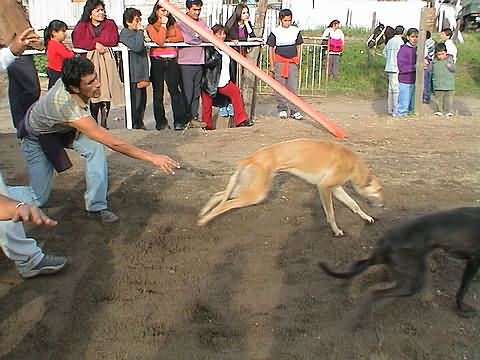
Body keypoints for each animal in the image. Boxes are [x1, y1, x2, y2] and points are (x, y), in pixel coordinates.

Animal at [197, 139, 384, 236]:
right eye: (379, 191)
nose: (383, 204)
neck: (353, 163)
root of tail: (253, 157)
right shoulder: (324, 187)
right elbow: (331, 213)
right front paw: (336, 230)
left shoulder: (336, 188)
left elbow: (354, 205)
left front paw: (367, 217)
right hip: (255, 193)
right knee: (225, 204)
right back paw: (205, 219)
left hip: (246, 187)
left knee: (218, 194)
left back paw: (204, 212)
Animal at [318, 208, 480, 318]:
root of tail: (387, 240)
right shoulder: (474, 261)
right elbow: (463, 289)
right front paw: (462, 309)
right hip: (412, 281)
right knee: (375, 293)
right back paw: (360, 320)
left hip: (383, 261)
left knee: (358, 265)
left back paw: (348, 288)